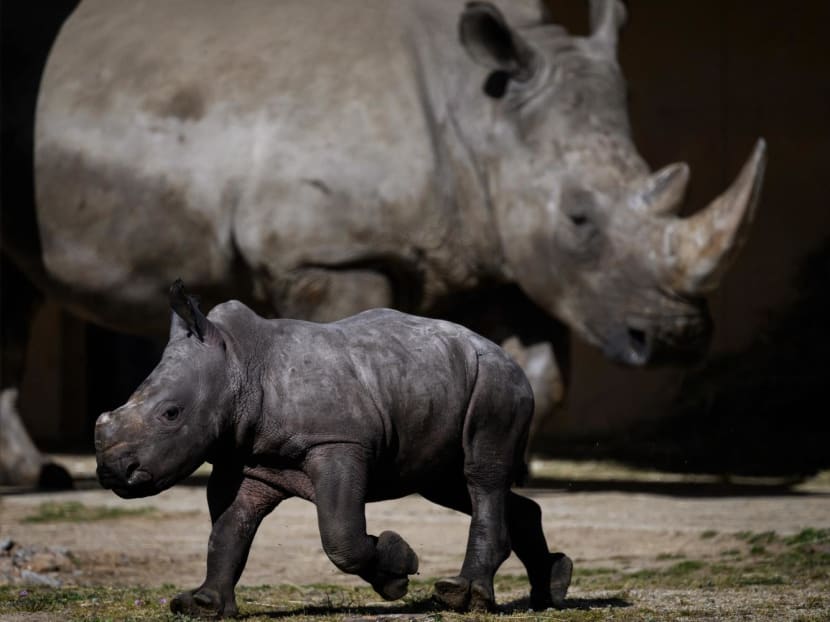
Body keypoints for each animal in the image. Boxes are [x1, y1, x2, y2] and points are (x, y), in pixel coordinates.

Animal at [2, 0, 766, 485]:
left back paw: (34, 475)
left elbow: (538, 374)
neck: (480, 112)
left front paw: (502, 464)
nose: (675, 339)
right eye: (580, 219)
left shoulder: (498, 244)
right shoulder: (330, 251)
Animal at [95, 281, 574, 616]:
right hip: (442, 386)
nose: (113, 471)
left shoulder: (339, 441)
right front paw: (202, 605)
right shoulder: (247, 460)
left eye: (171, 413)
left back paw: (462, 598)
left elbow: (340, 535)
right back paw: (550, 591)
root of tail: (500, 352)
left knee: (480, 476)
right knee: (450, 484)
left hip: (495, 383)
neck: (239, 365)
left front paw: (398, 571)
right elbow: (228, 529)